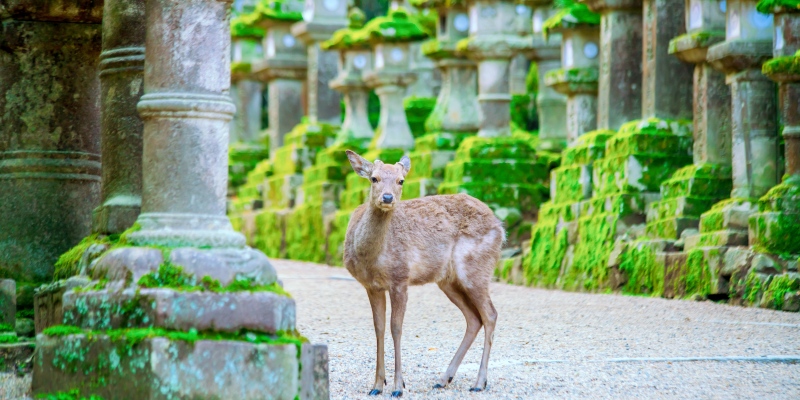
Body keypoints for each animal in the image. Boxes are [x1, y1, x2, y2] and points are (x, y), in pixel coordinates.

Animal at [343, 150, 504, 397]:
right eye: (374, 178)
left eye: (401, 180)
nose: (387, 198)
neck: (371, 258)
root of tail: (501, 228)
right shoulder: (371, 286)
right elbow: (379, 328)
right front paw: (377, 386)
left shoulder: (400, 278)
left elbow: (396, 328)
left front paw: (398, 387)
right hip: (448, 280)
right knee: (473, 318)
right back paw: (444, 379)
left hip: (476, 268)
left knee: (490, 314)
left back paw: (479, 382)